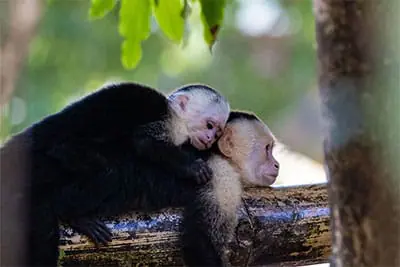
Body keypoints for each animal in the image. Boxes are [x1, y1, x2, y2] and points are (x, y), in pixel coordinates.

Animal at [0, 82, 230, 267]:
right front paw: (192, 167)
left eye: (218, 132)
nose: (210, 138)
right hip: (49, 160)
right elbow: (144, 141)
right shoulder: (166, 121)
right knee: (106, 172)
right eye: (209, 125)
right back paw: (74, 214)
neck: (175, 117)